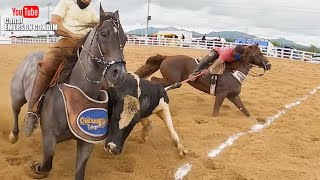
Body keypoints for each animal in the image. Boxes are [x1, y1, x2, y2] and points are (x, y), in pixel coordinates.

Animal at [134, 44, 270, 119]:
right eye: (259, 53)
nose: (269, 65)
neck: (233, 71)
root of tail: (167, 57)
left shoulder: (233, 96)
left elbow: (244, 110)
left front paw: (255, 121)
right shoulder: (221, 95)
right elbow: (216, 112)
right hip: (171, 81)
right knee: (154, 80)